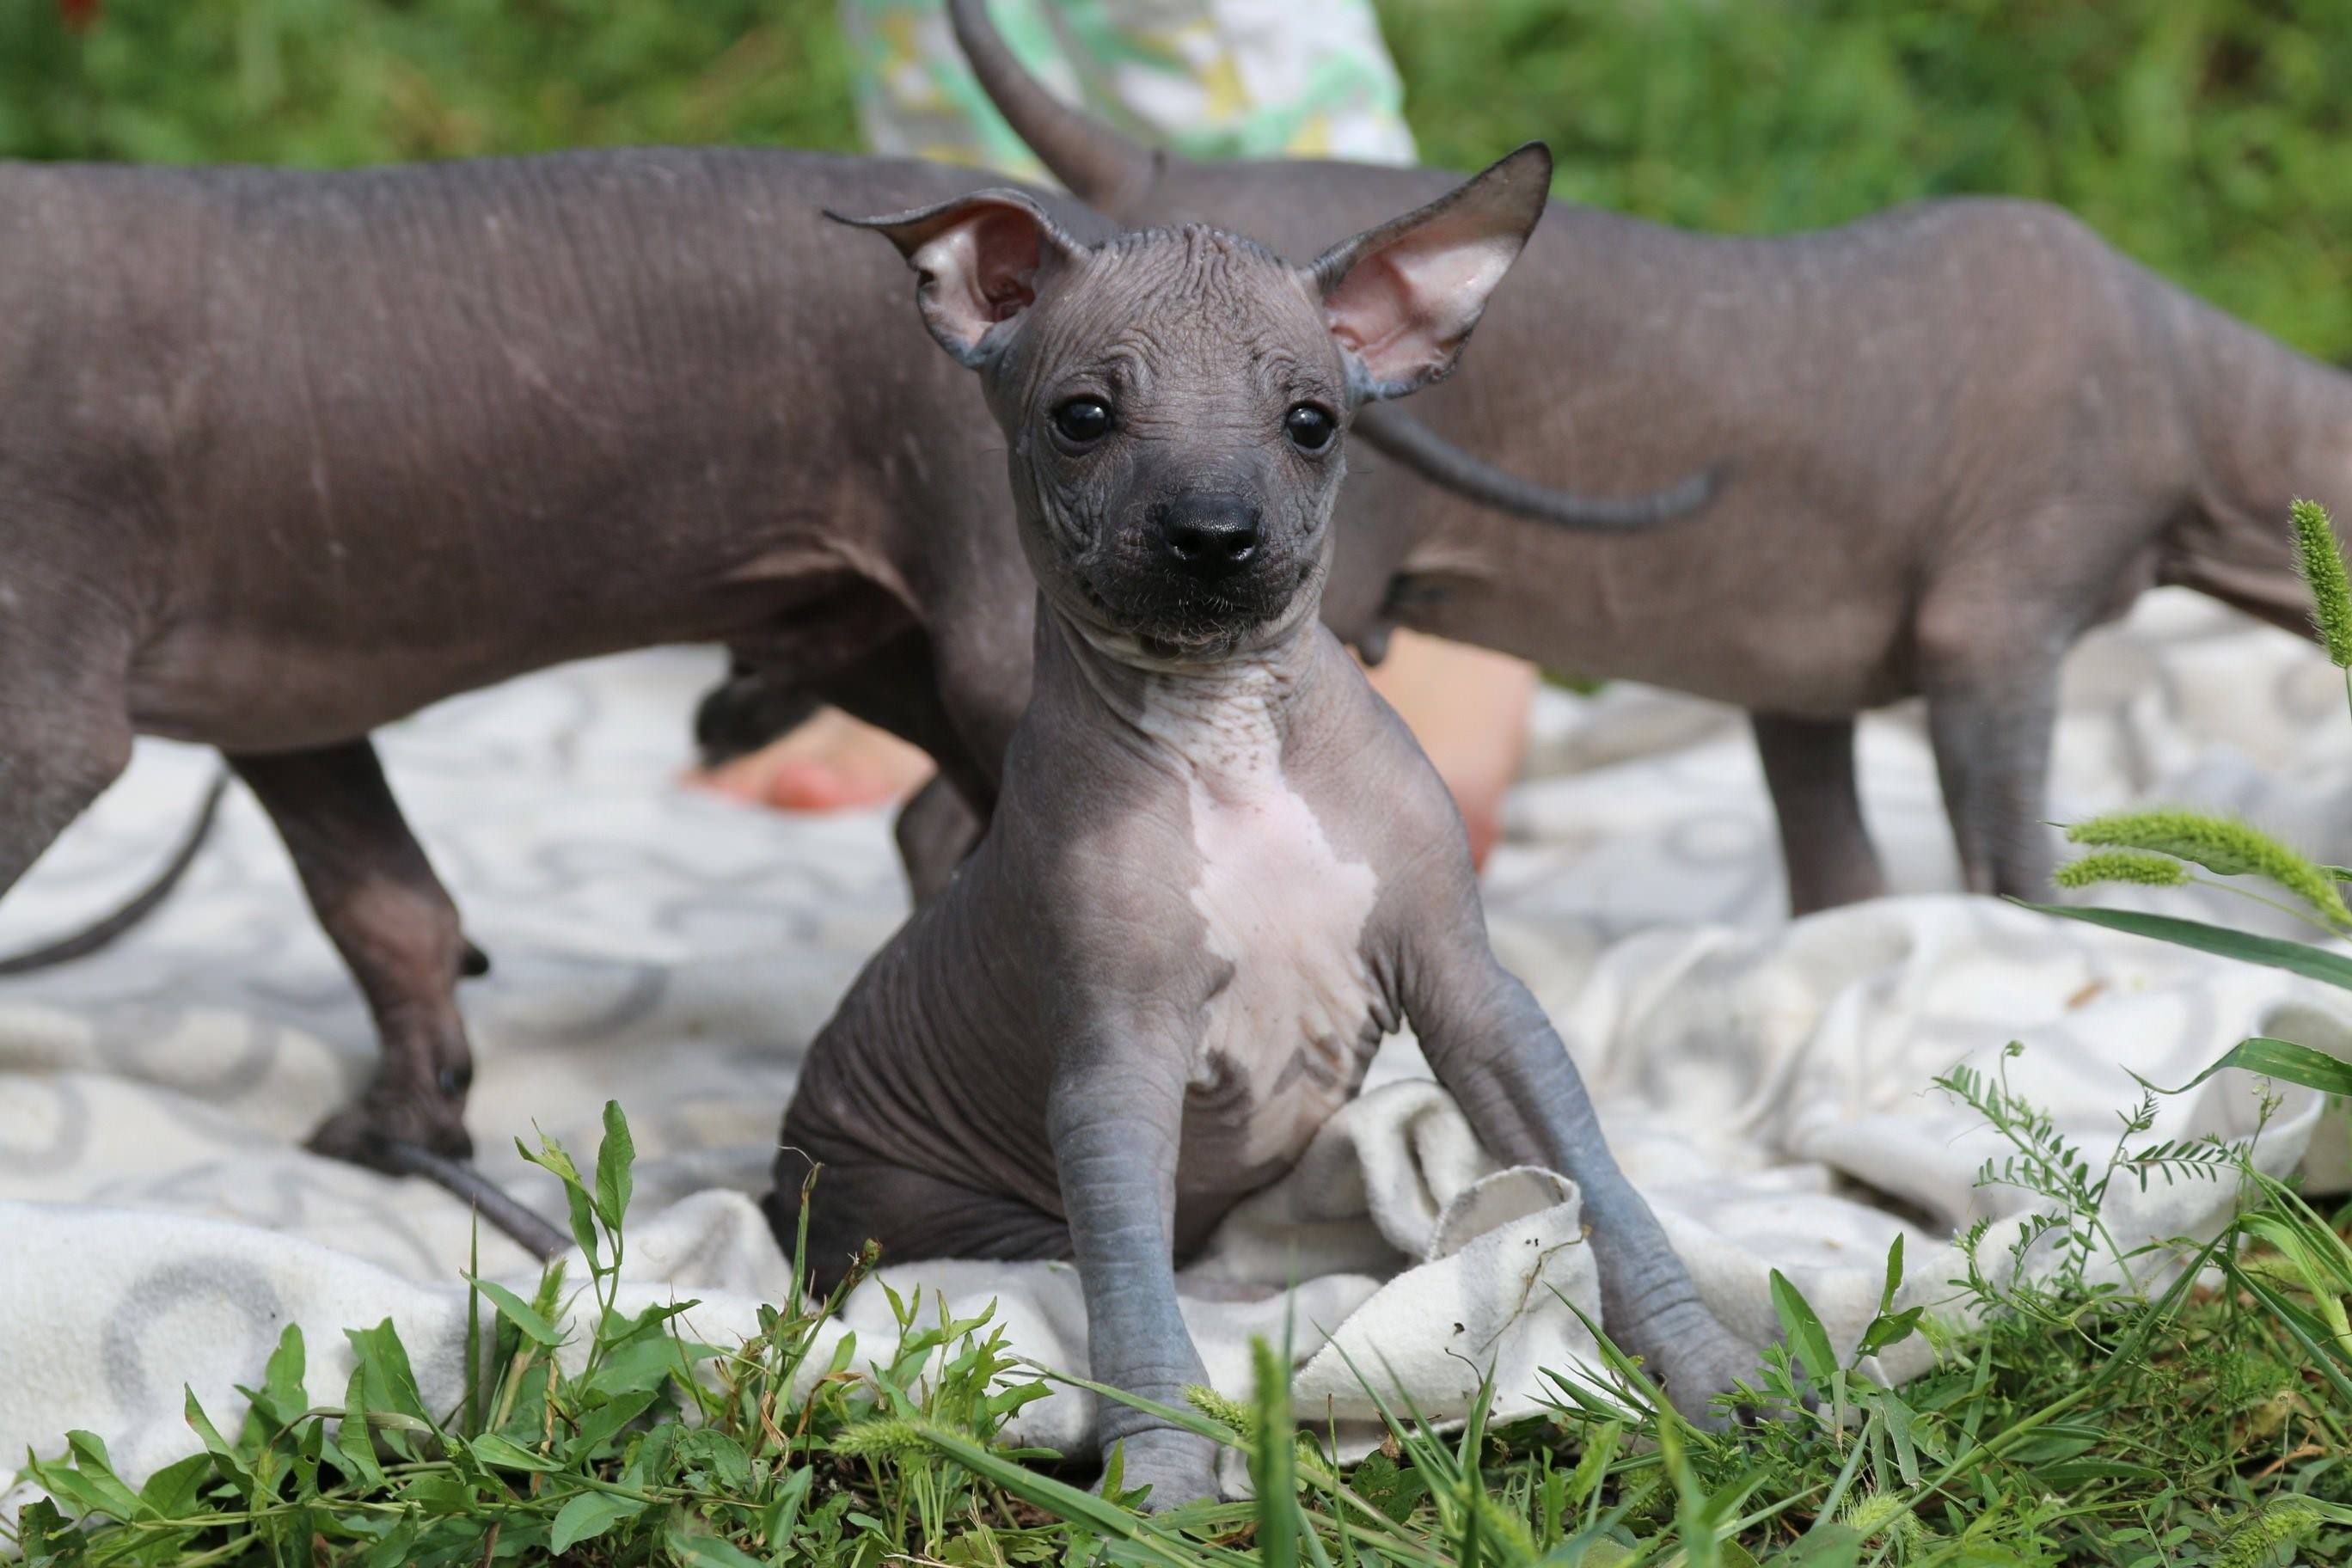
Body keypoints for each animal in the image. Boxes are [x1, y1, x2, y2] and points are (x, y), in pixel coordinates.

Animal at [762, 146, 1759, 1504]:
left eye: (1311, 424)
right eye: (1083, 418)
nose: (1215, 539)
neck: (1228, 723)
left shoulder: (1477, 997)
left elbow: (1603, 1189)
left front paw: (1717, 1379)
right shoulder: (1114, 1067)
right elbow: (1128, 1289)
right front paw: (1164, 1477)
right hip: (936, 1213)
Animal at [945, 0, 2343, 921]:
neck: (2200, 385)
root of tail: (1151, 175)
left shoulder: (1796, 665)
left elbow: (1839, 866)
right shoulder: (1996, 627)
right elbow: (2013, 857)